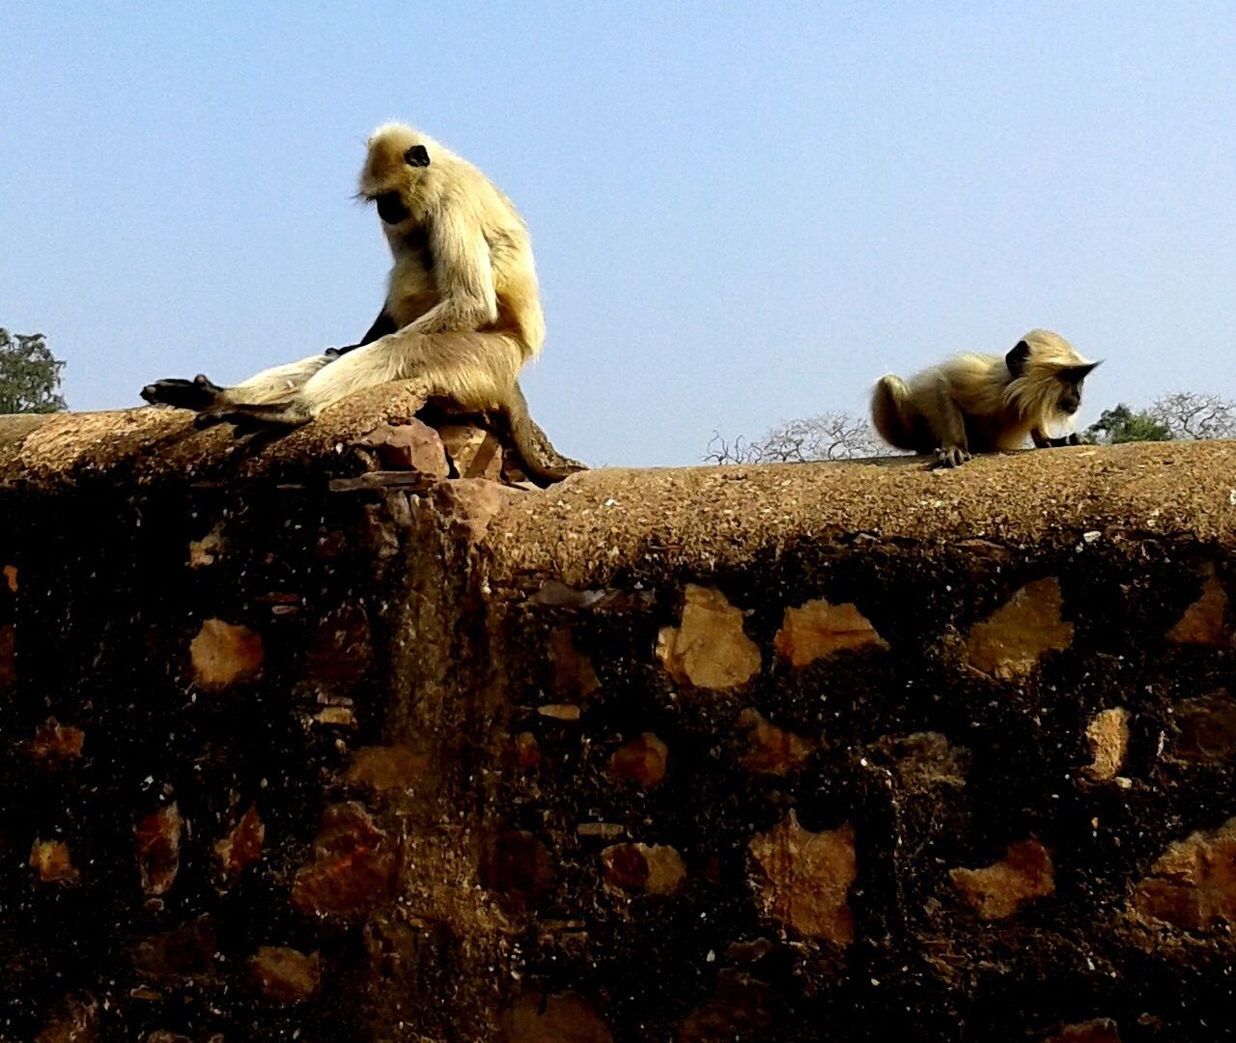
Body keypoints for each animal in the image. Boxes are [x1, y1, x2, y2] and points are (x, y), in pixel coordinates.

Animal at [142, 121, 585, 484]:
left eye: (389, 197)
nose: (386, 211)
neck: (440, 171)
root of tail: (515, 360)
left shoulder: (450, 202)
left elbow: (471, 302)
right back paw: (218, 396)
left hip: (482, 355)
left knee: (399, 343)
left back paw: (290, 411)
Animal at [870, 331, 1102, 469]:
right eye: (1070, 378)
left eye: (1080, 380)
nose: (1078, 395)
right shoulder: (986, 383)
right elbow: (942, 383)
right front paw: (955, 447)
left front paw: (1055, 441)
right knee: (889, 382)